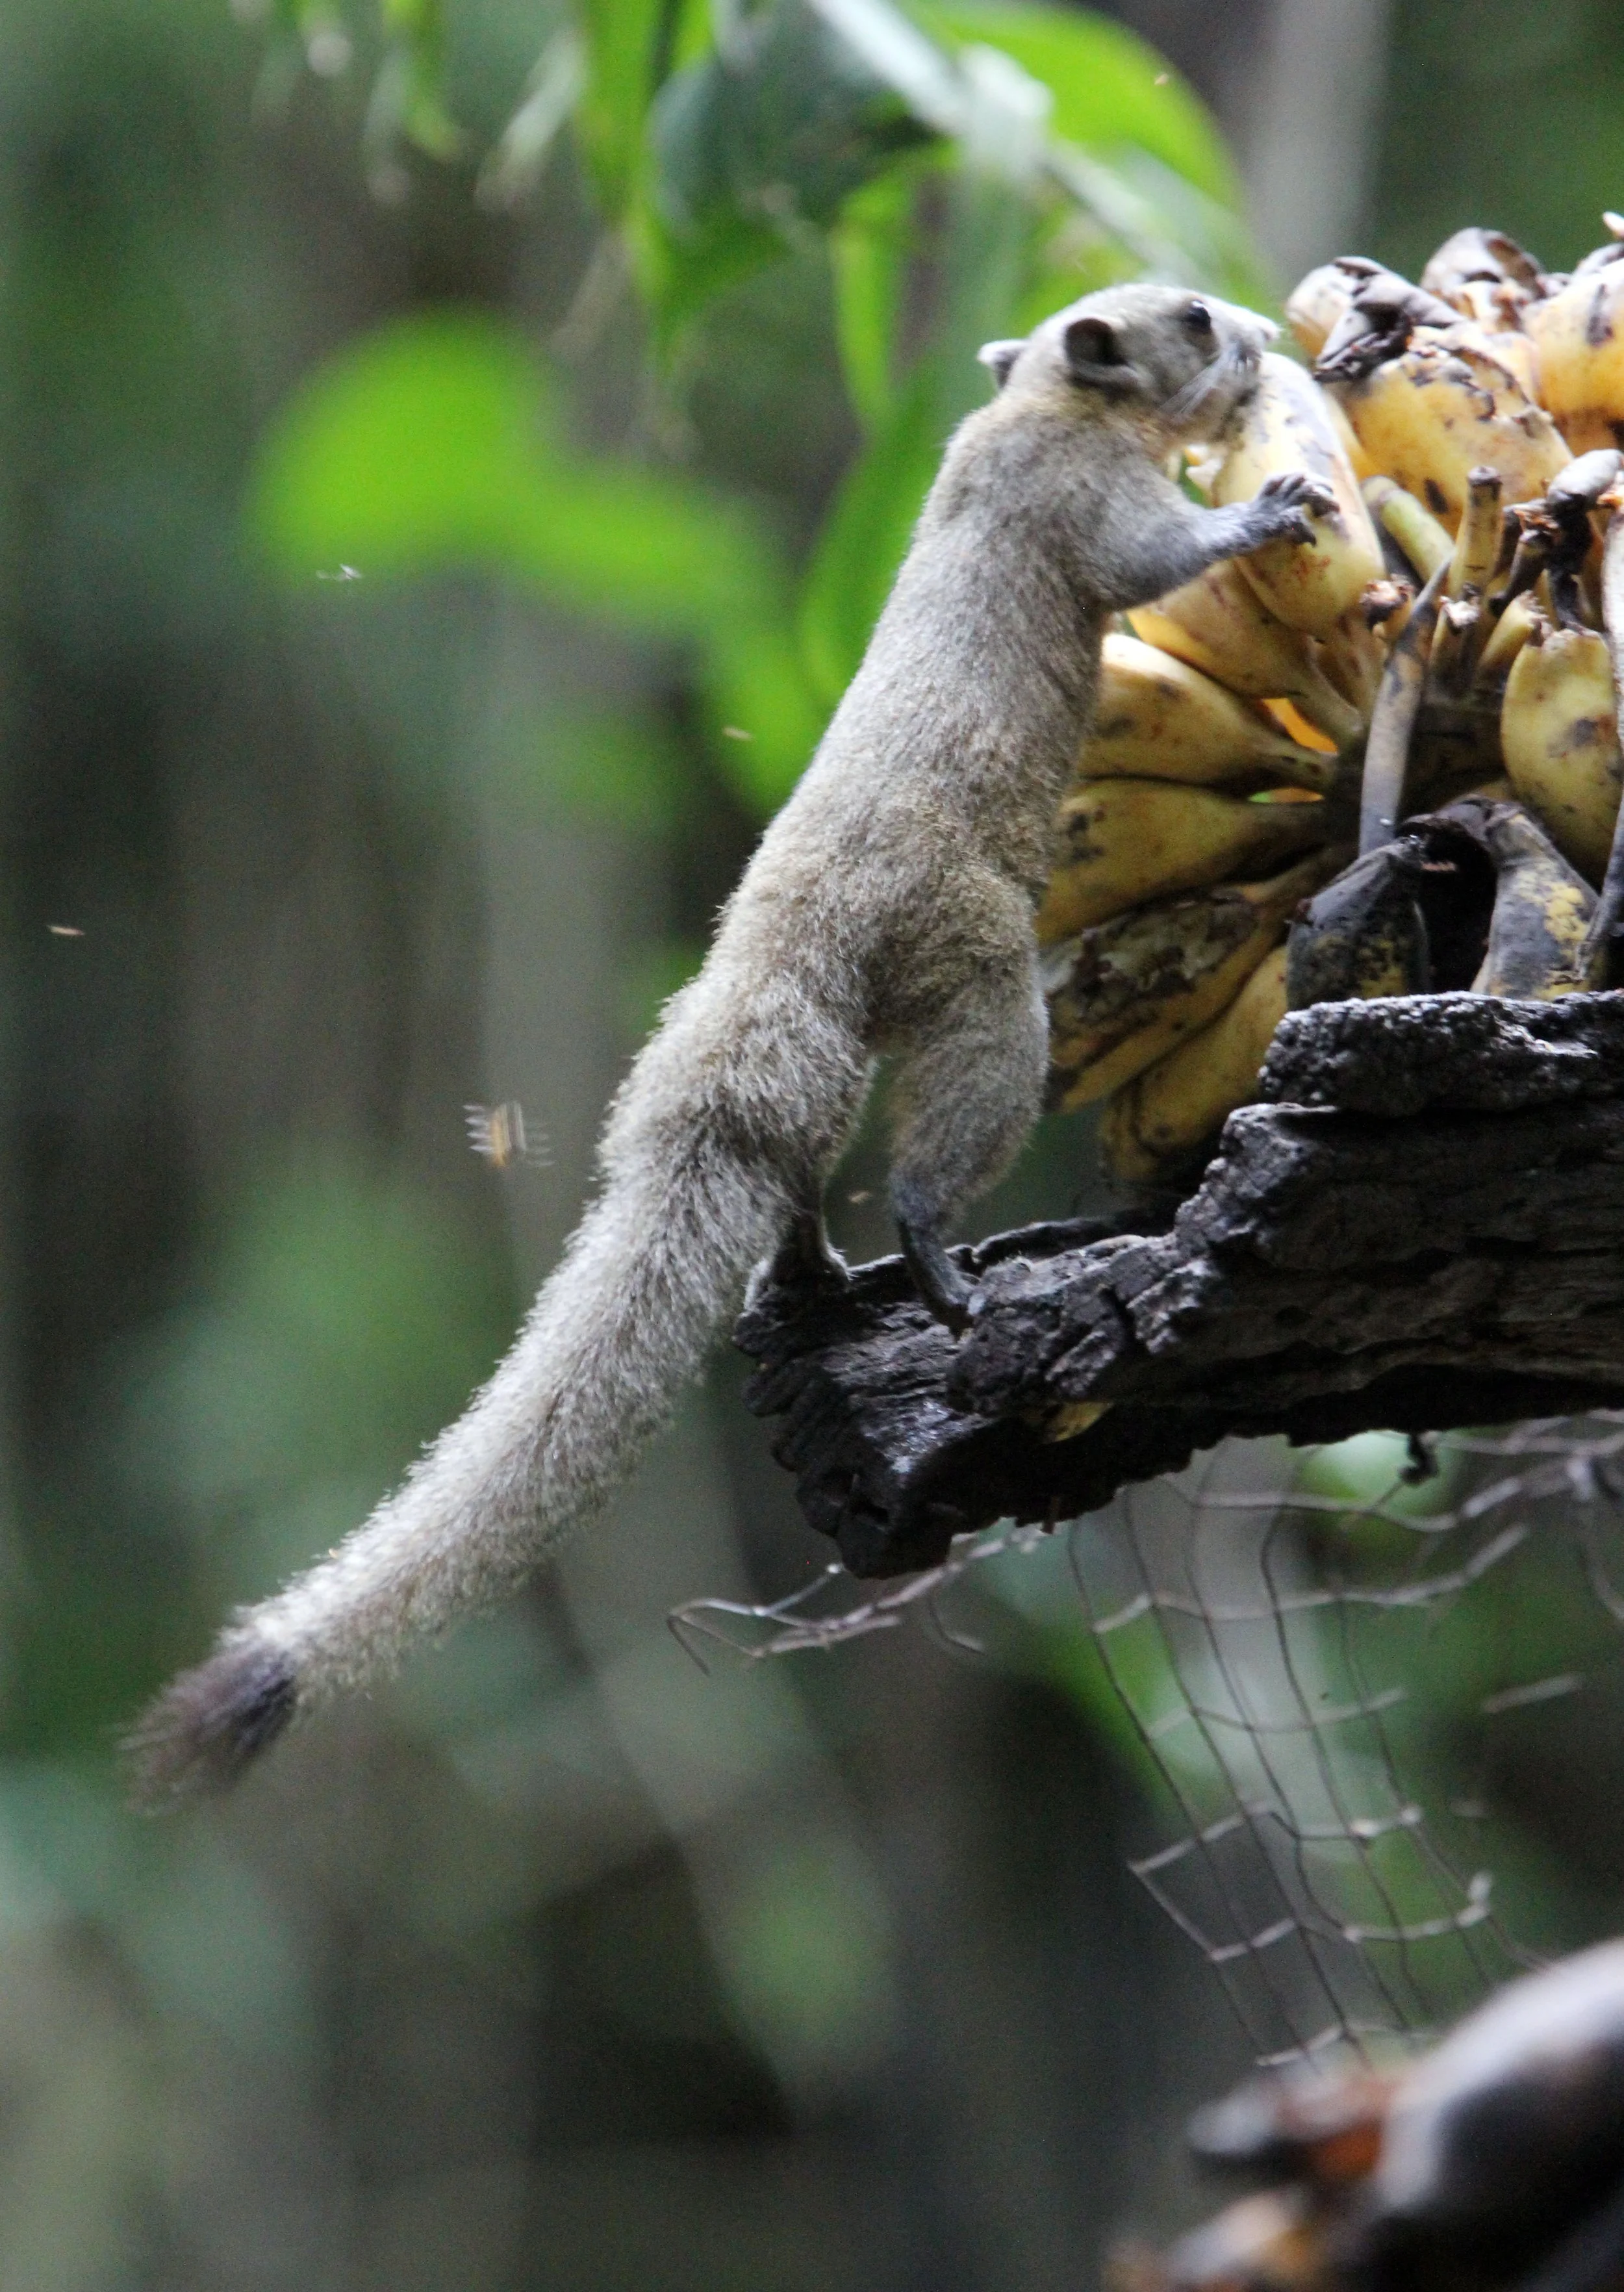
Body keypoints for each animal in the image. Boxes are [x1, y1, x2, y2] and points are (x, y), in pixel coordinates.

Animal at [128, 284, 1331, 1798]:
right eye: (1192, 319)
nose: (1269, 339)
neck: (1032, 408)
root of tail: (759, 987)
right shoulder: (1079, 502)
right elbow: (1151, 558)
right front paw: (1273, 503)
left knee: (798, 1184)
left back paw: (819, 1274)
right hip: (984, 975)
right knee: (936, 1140)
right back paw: (939, 1269)